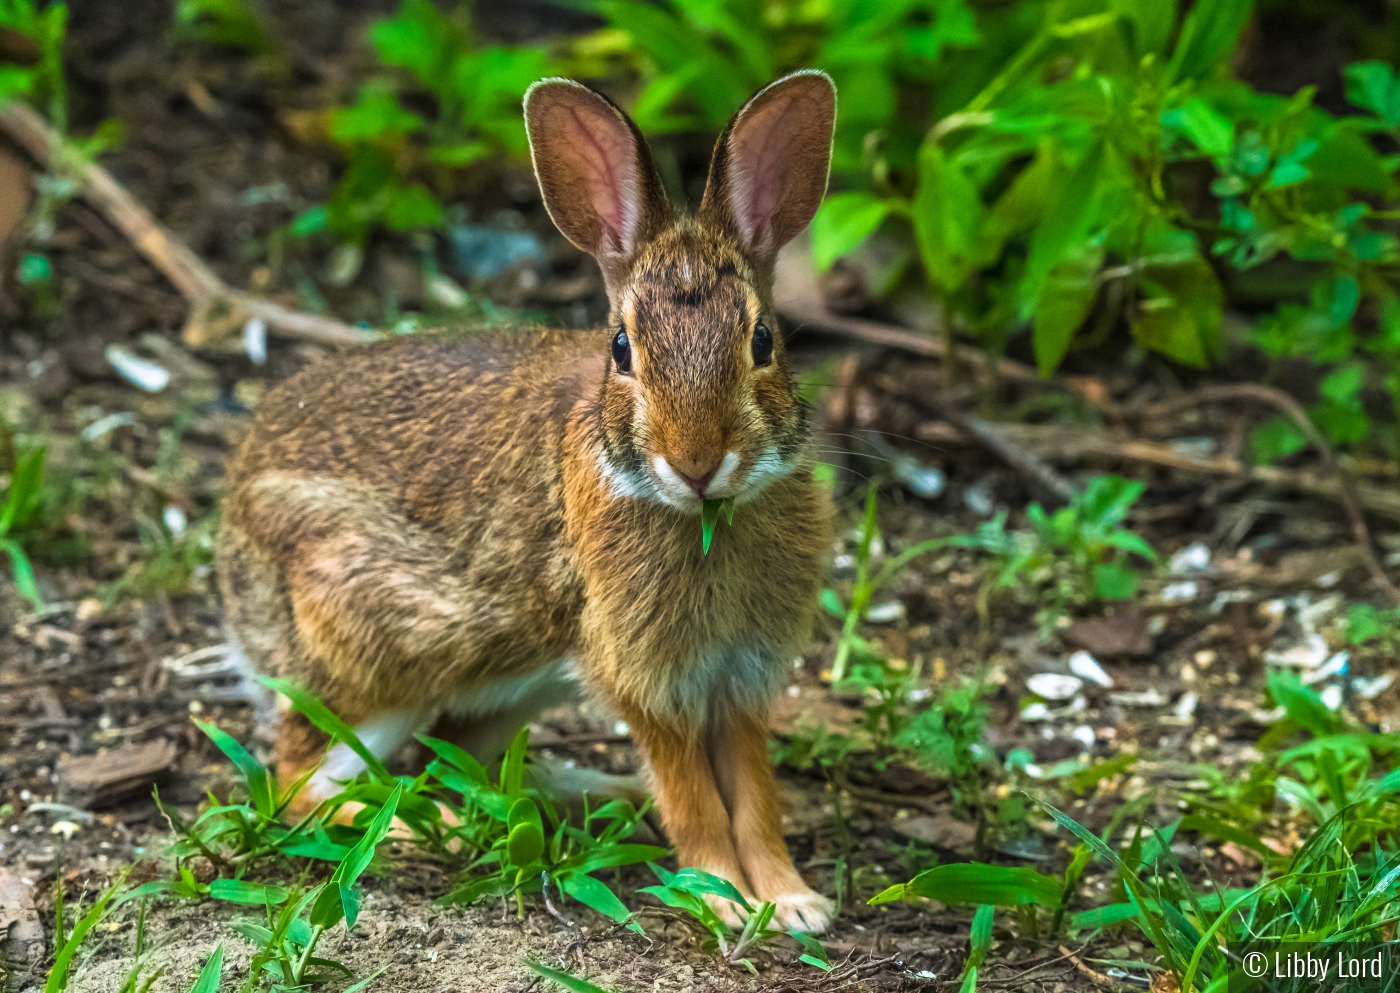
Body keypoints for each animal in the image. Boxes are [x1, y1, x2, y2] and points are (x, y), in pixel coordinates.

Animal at [212, 69, 834, 929]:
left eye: (764, 341)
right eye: (621, 350)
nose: (697, 463)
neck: (701, 517)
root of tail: (229, 522)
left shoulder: (738, 682)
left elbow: (754, 792)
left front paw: (793, 900)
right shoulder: (648, 679)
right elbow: (695, 797)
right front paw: (727, 898)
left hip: (514, 679)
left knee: (448, 754)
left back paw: (575, 799)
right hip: (378, 649)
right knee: (302, 786)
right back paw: (434, 824)